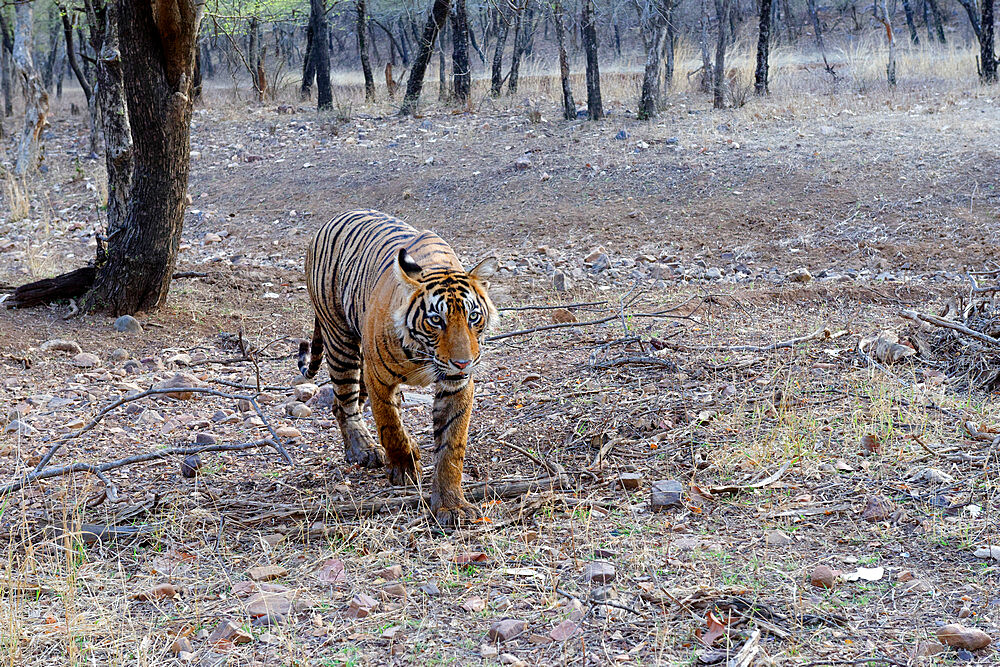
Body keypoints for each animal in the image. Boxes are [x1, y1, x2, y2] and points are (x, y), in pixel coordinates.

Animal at [296, 210, 500, 528]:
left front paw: (452, 506)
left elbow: (451, 446)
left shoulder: (456, 384)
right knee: (346, 403)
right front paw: (404, 467)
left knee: (344, 404)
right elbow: (389, 424)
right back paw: (364, 450)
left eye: (473, 317)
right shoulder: (379, 378)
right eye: (436, 320)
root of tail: (330, 221)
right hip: (341, 342)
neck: (424, 355)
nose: (463, 362)